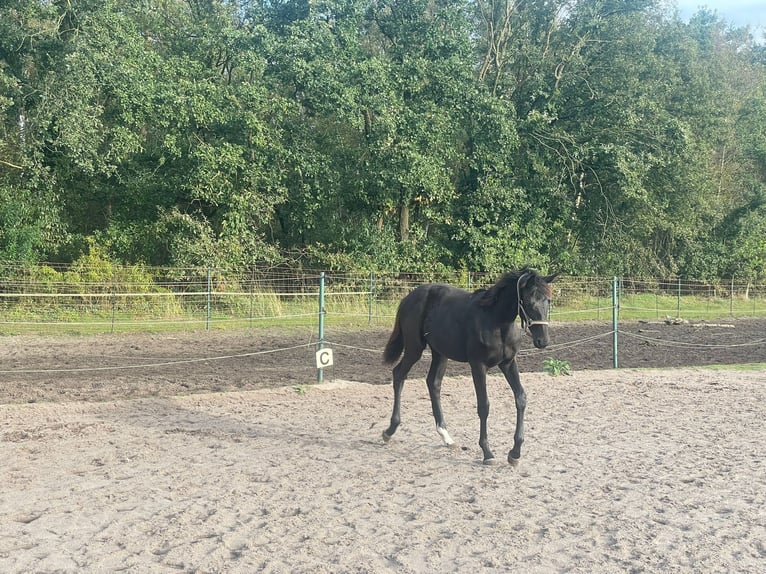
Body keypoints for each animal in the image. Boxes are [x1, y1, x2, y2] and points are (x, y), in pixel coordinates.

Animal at [382, 272, 560, 468]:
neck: (496, 321)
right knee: (399, 374)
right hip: (415, 348)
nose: (542, 341)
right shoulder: (478, 365)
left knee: (433, 383)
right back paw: (389, 430)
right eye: (528, 301)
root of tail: (409, 297)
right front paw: (488, 453)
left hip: (440, 353)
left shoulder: (508, 363)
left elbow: (521, 398)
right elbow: (484, 405)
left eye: (548, 300)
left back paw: (446, 436)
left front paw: (515, 453)